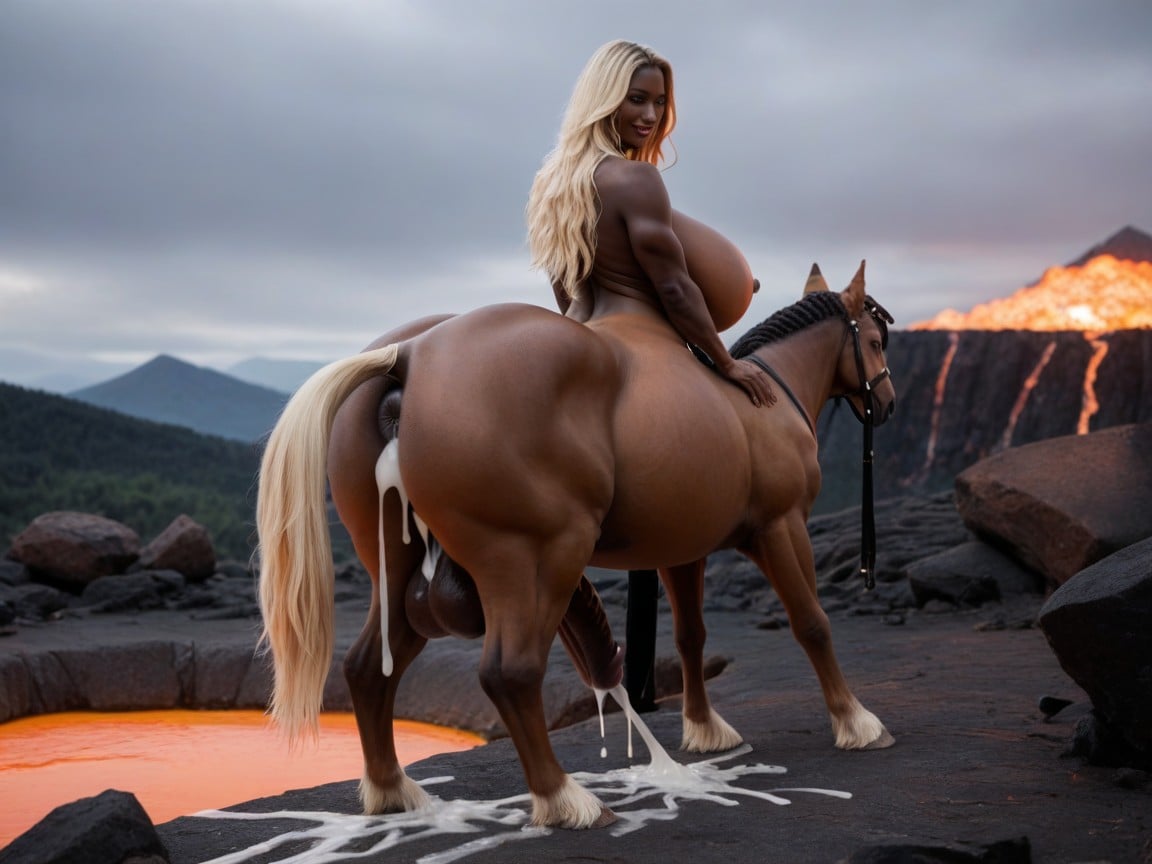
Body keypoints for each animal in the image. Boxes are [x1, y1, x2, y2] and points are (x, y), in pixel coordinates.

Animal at [254, 262, 898, 834]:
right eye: (873, 340)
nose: (887, 402)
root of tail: (409, 355)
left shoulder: (681, 551)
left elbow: (690, 637)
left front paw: (704, 728)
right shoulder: (780, 526)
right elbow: (811, 622)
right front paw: (856, 721)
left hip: (399, 572)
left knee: (368, 668)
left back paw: (392, 790)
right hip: (538, 560)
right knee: (510, 673)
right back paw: (564, 799)